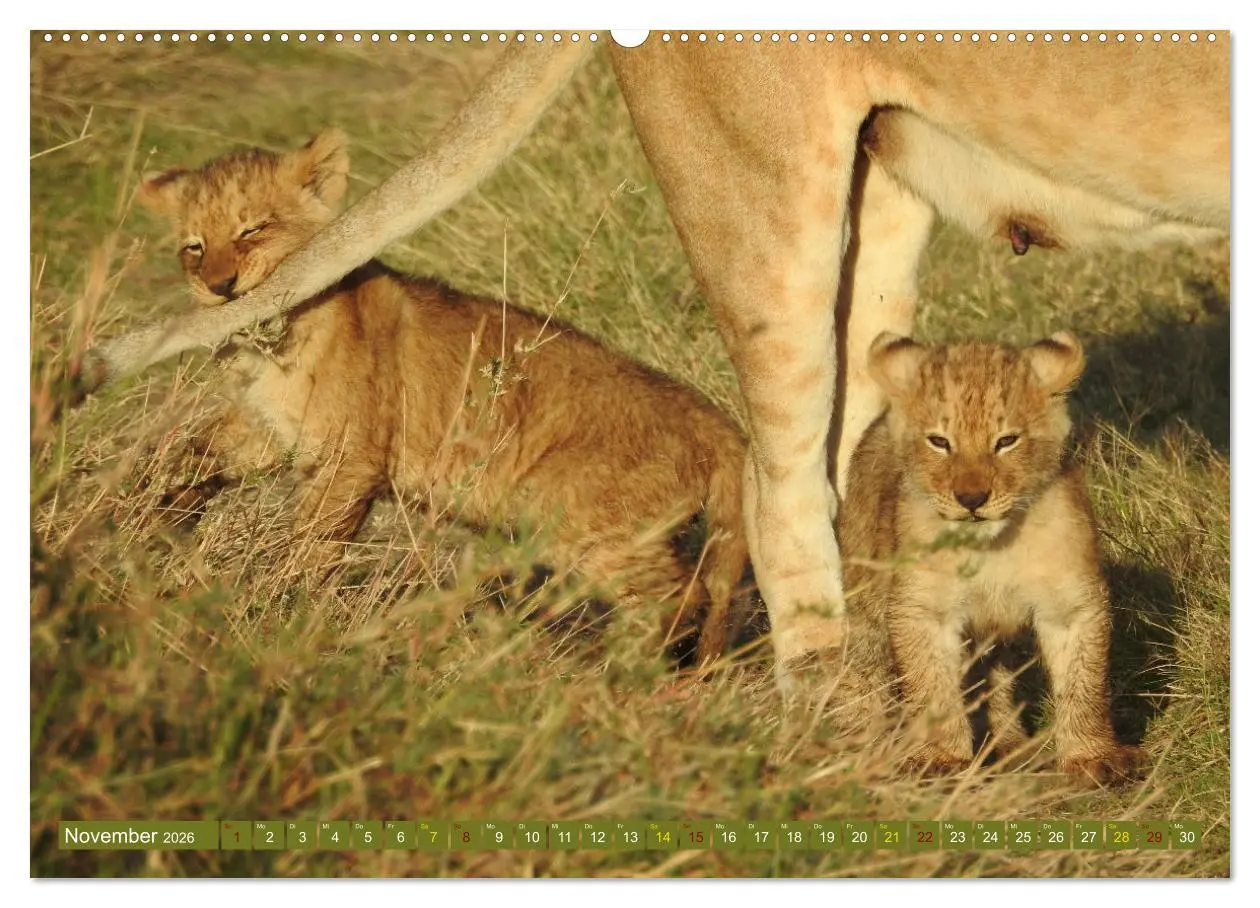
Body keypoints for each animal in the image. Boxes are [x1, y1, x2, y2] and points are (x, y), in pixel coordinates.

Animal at [137, 128, 751, 665]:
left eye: (253, 229)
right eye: (194, 247)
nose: (220, 287)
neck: (277, 343)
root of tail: (714, 420)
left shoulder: (352, 459)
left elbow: (313, 543)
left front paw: (279, 603)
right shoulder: (269, 431)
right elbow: (196, 450)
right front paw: (159, 505)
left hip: (589, 521)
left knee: (680, 601)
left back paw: (614, 674)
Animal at [841, 331, 1144, 782]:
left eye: (1006, 441)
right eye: (939, 442)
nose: (971, 499)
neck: (989, 549)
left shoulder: (1071, 605)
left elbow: (1083, 683)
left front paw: (1093, 757)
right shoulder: (923, 610)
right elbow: (931, 686)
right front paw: (939, 758)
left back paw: (1009, 745)